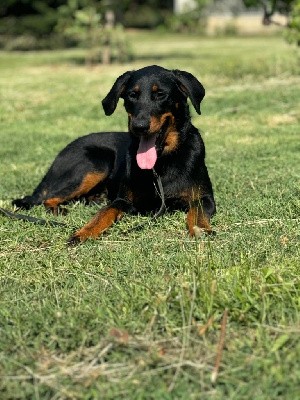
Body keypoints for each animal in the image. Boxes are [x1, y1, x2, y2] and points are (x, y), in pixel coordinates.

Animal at [12, 65, 216, 244]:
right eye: (132, 95)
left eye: (160, 94)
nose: (139, 126)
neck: (160, 164)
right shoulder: (122, 200)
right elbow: (104, 213)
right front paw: (84, 232)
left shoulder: (205, 198)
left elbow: (196, 213)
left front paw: (200, 230)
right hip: (97, 161)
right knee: (48, 198)